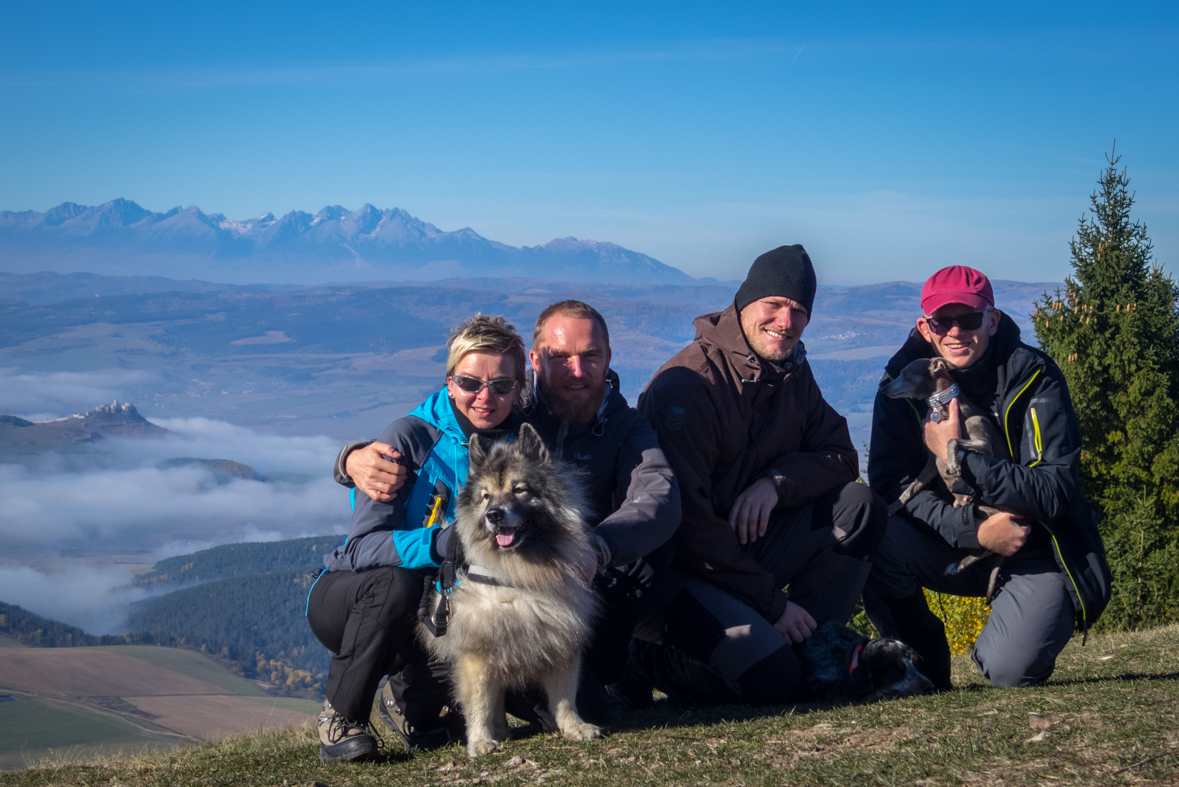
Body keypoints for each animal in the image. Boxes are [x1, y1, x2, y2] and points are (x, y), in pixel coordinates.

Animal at [419, 424, 603, 754]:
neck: (521, 573)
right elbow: (480, 702)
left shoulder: (562, 639)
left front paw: (574, 727)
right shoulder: (477, 653)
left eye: (519, 490)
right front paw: (480, 740)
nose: (493, 514)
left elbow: (565, 696)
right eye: (486, 496)